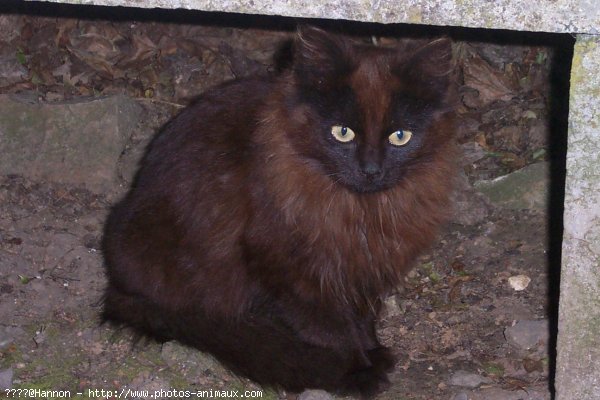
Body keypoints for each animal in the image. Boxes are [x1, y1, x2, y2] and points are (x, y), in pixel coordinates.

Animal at [103, 25, 458, 396]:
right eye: (343, 132)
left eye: (400, 136)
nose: (371, 170)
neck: (361, 211)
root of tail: (118, 285)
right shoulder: (287, 268)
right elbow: (331, 328)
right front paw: (357, 368)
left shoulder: (364, 268)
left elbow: (361, 318)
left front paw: (370, 349)